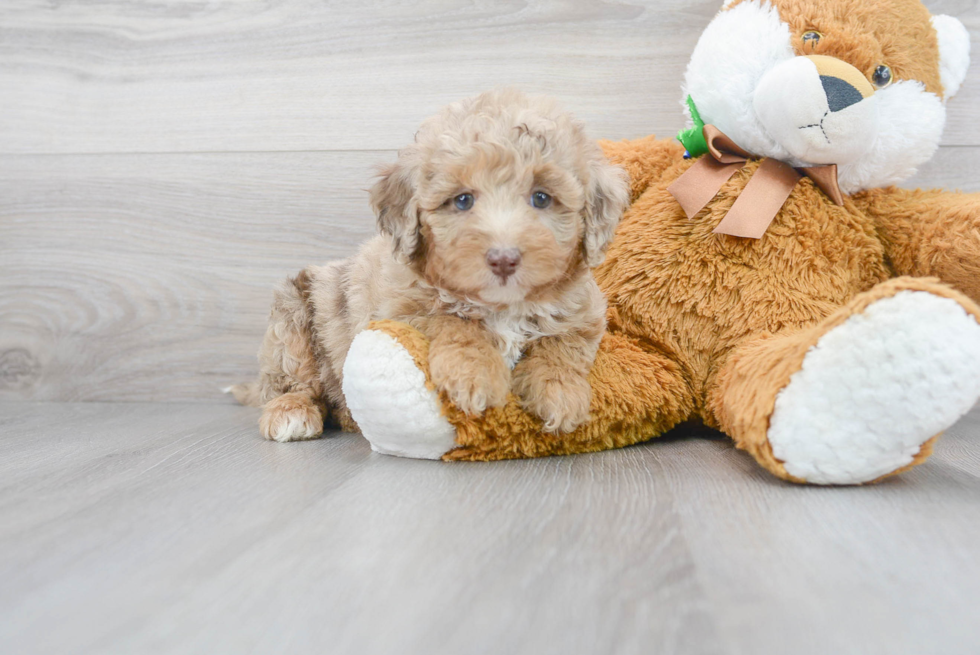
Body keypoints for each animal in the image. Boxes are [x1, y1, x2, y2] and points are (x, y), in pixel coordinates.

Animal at [230, 87, 628, 444]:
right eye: (463, 201)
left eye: (542, 198)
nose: (503, 259)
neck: (501, 306)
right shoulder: (398, 310)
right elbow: (453, 323)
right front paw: (475, 375)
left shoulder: (585, 311)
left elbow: (562, 344)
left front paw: (560, 394)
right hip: (292, 322)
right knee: (292, 384)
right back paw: (291, 413)